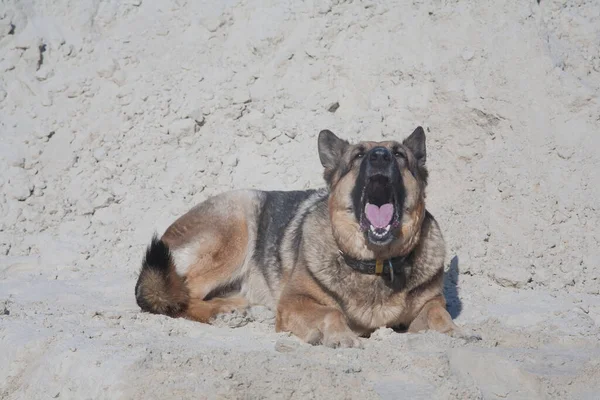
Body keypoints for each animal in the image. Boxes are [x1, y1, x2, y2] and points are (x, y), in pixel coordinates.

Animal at [136, 127, 474, 346]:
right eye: (358, 155)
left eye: (400, 154)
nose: (380, 156)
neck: (376, 263)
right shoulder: (294, 302)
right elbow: (331, 313)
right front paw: (339, 337)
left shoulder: (428, 305)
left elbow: (439, 313)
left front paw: (457, 331)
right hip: (237, 222)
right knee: (177, 295)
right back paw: (222, 312)